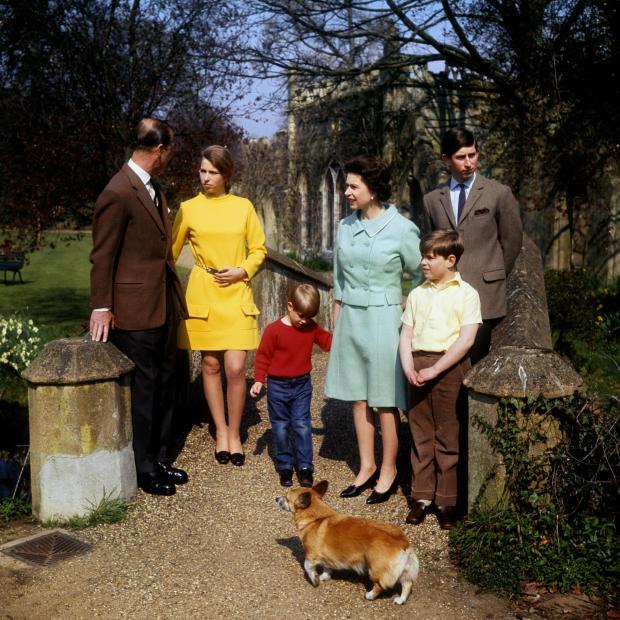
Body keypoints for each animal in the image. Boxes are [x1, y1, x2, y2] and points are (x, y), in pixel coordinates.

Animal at [278, 480, 418, 604]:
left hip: (375, 569)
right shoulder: (327, 555)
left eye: (286, 498)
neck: (315, 519)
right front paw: (324, 576)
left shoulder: (311, 555)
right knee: (407, 584)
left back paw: (370, 595)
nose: (276, 498)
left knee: (380, 585)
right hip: (403, 571)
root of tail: (402, 541)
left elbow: (307, 567)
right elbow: (327, 567)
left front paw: (315, 579)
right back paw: (400, 600)